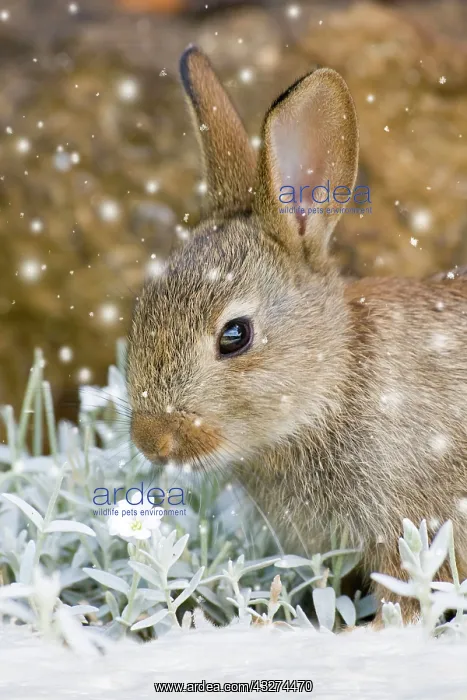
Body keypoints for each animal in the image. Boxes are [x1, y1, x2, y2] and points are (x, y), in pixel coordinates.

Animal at [126, 45, 467, 624]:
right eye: (143, 306)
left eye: (235, 336)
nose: (151, 439)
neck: (332, 384)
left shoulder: (411, 524)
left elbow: (405, 601)